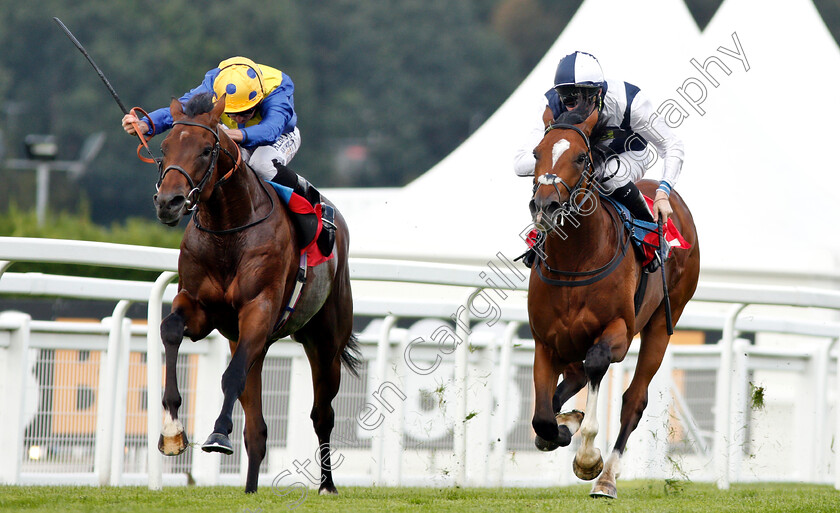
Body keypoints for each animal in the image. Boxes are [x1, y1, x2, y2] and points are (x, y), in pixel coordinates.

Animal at [150, 92, 358, 492]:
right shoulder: (199, 308)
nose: (168, 202)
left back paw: (327, 484)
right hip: (254, 345)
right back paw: (250, 487)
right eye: (164, 148)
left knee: (322, 414)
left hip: (324, 343)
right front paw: (172, 430)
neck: (228, 231)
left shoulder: (258, 311)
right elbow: (170, 330)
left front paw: (218, 434)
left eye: (205, 150)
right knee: (258, 432)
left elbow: (230, 376)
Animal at [528, 101, 700, 496]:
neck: (575, 261)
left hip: (661, 325)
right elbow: (542, 418)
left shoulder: (618, 332)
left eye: (580, 156)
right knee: (573, 378)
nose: (545, 206)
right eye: (536, 153)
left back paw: (606, 478)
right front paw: (563, 426)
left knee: (632, 400)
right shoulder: (545, 341)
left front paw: (588, 458)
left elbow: (597, 363)